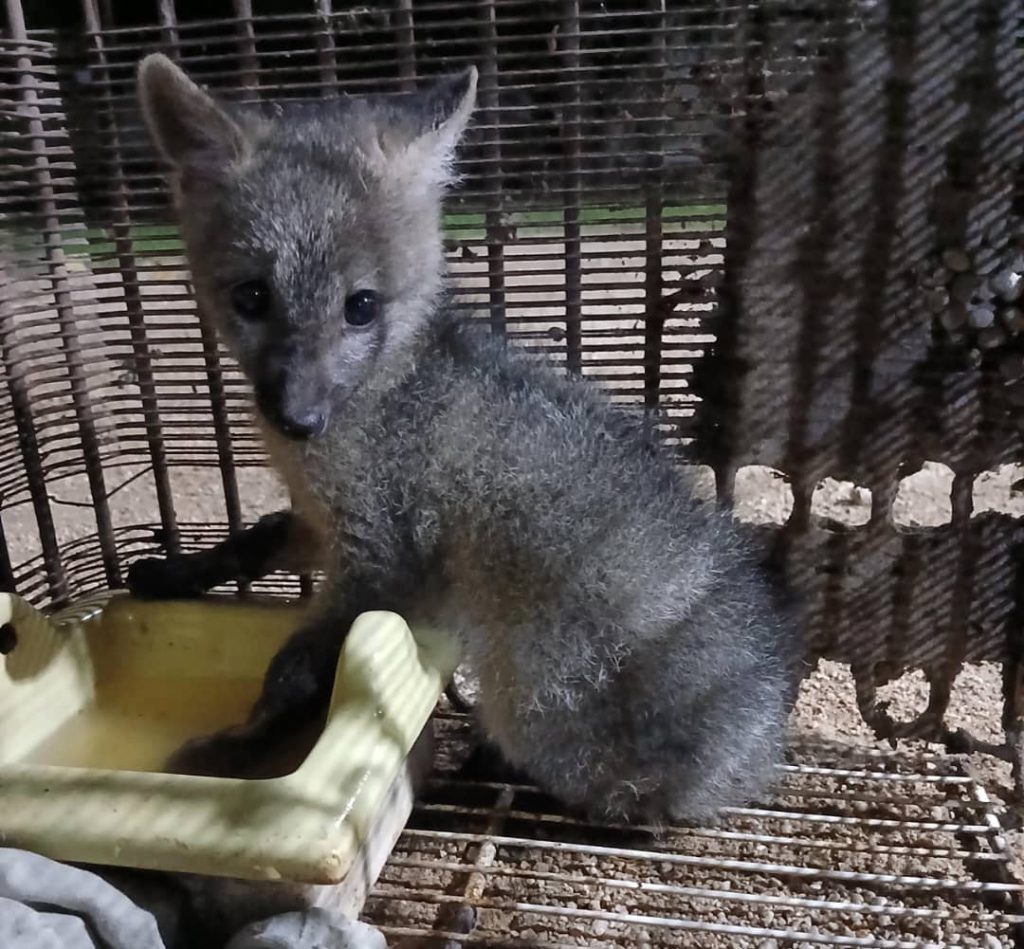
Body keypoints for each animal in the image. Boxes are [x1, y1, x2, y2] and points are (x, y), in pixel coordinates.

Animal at [132, 52, 804, 823]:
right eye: (250, 297)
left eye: (361, 307)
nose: (298, 418)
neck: (388, 388)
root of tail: (757, 746)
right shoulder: (324, 523)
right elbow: (255, 540)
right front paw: (173, 573)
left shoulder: (386, 564)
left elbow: (297, 675)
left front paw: (233, 753)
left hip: (536, 699)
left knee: (617, 804)